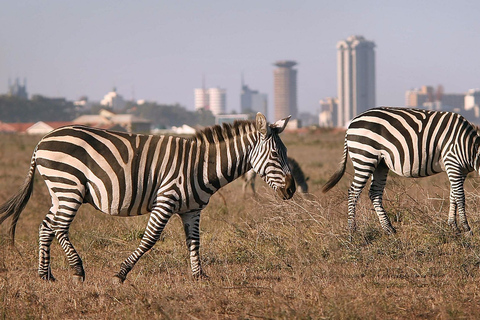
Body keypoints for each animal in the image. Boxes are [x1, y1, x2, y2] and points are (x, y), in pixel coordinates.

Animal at [0, 112, 296, 282]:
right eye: (275, 154)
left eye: (284, 153)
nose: (292, 190)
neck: (201, 165)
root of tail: (43, 140)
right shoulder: (166, 199)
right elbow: (150, 239)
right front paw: (121, 274)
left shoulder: (191, 209)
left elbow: (194, 242)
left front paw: (200, 277)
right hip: (69, 186)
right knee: (59, 227)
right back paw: (78, 270)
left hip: (60, 191)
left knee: (46, 226)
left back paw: (45, 275)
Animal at [322, 107, 480, 235]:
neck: (470, 147)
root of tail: (351, 123)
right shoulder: (452, 162)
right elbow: (460, 196)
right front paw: (466, 228)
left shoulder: (460, 170)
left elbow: (453, 196)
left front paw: (454, 226)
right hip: (365, 157)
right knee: (353, 192)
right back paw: (352, 230)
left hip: (380, 164)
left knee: (374, 193)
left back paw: (389, 229)